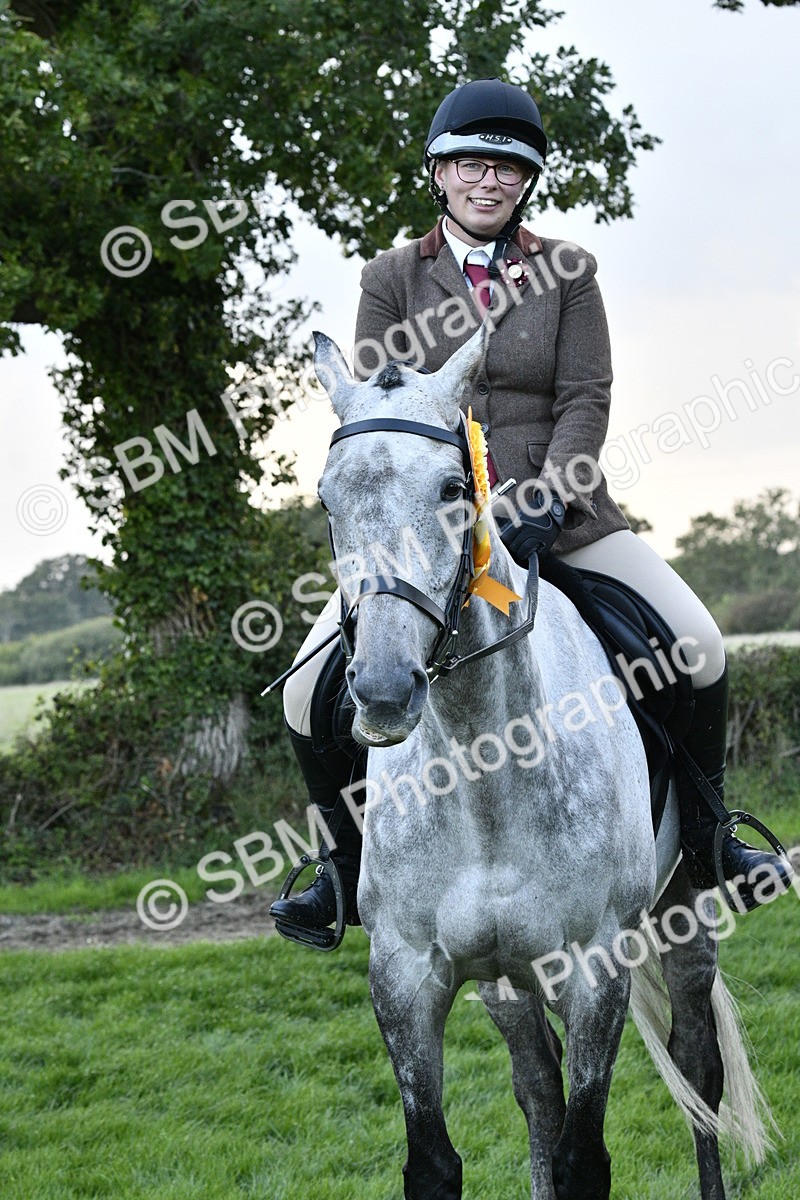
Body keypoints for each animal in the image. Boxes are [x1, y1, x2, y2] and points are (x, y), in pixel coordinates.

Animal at [311, 326, 772, 1200]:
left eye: (454, 488)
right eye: (327, 499)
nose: (382, 691)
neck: (480, 765)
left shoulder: (595, 969)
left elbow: (583, 1157)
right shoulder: (404, 977)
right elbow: (438, 1159)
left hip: (682, 904)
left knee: (698, 1068)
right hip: (505, 978)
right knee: (536, 1087)